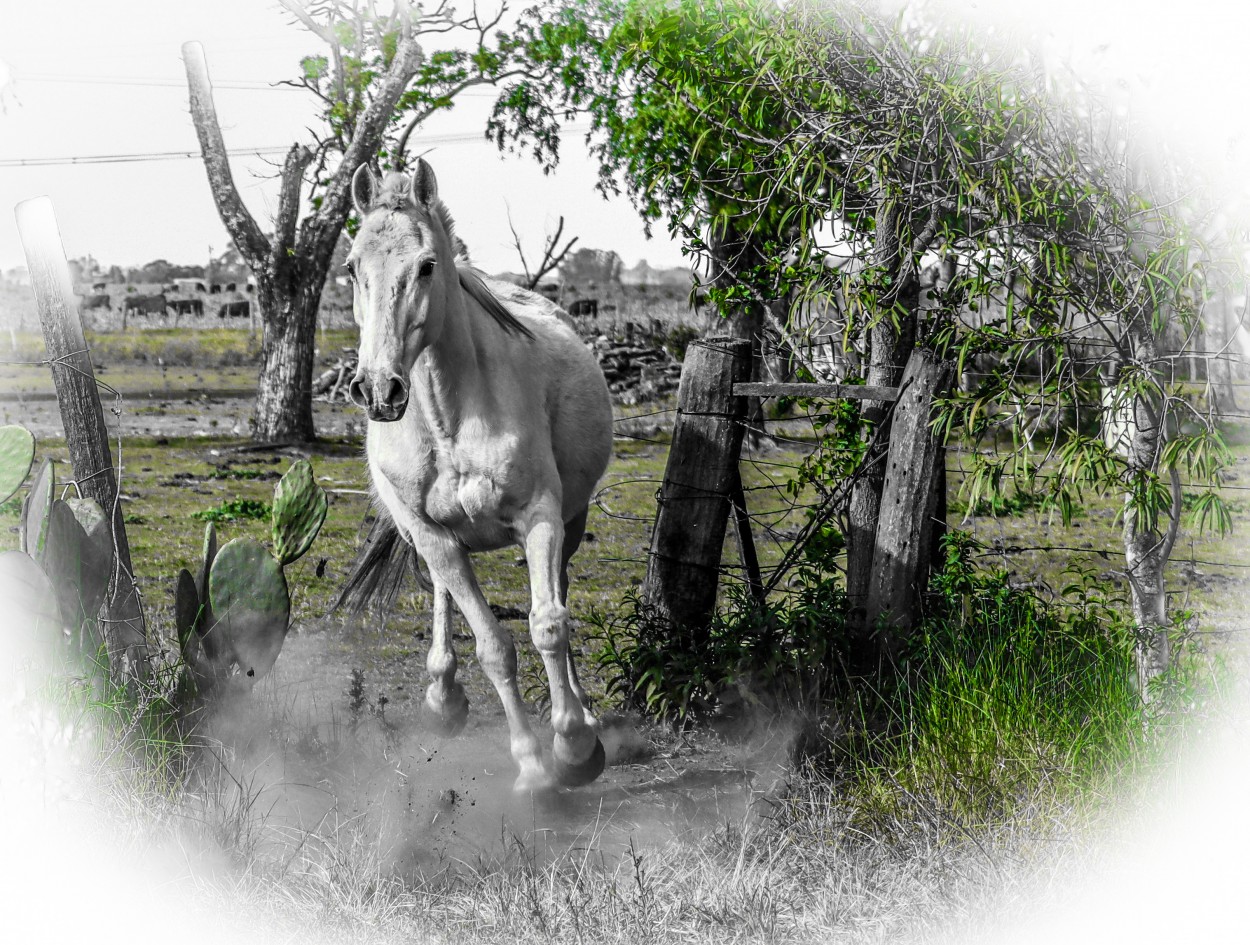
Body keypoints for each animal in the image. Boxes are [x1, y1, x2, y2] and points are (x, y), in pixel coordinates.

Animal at [342, 160, 615, 790]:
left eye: (426, 265)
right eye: (351, 267)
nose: (379, 389)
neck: (449, 416)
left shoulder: (541, 519)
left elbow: (549, 625)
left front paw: (574, 746)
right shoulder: (433, 535)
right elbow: (494, 646)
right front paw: (534, 768)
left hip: (572, 521)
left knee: (560, 593)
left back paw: (580, 713)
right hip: (428, 535)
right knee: (445, 592)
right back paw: (443, 693)